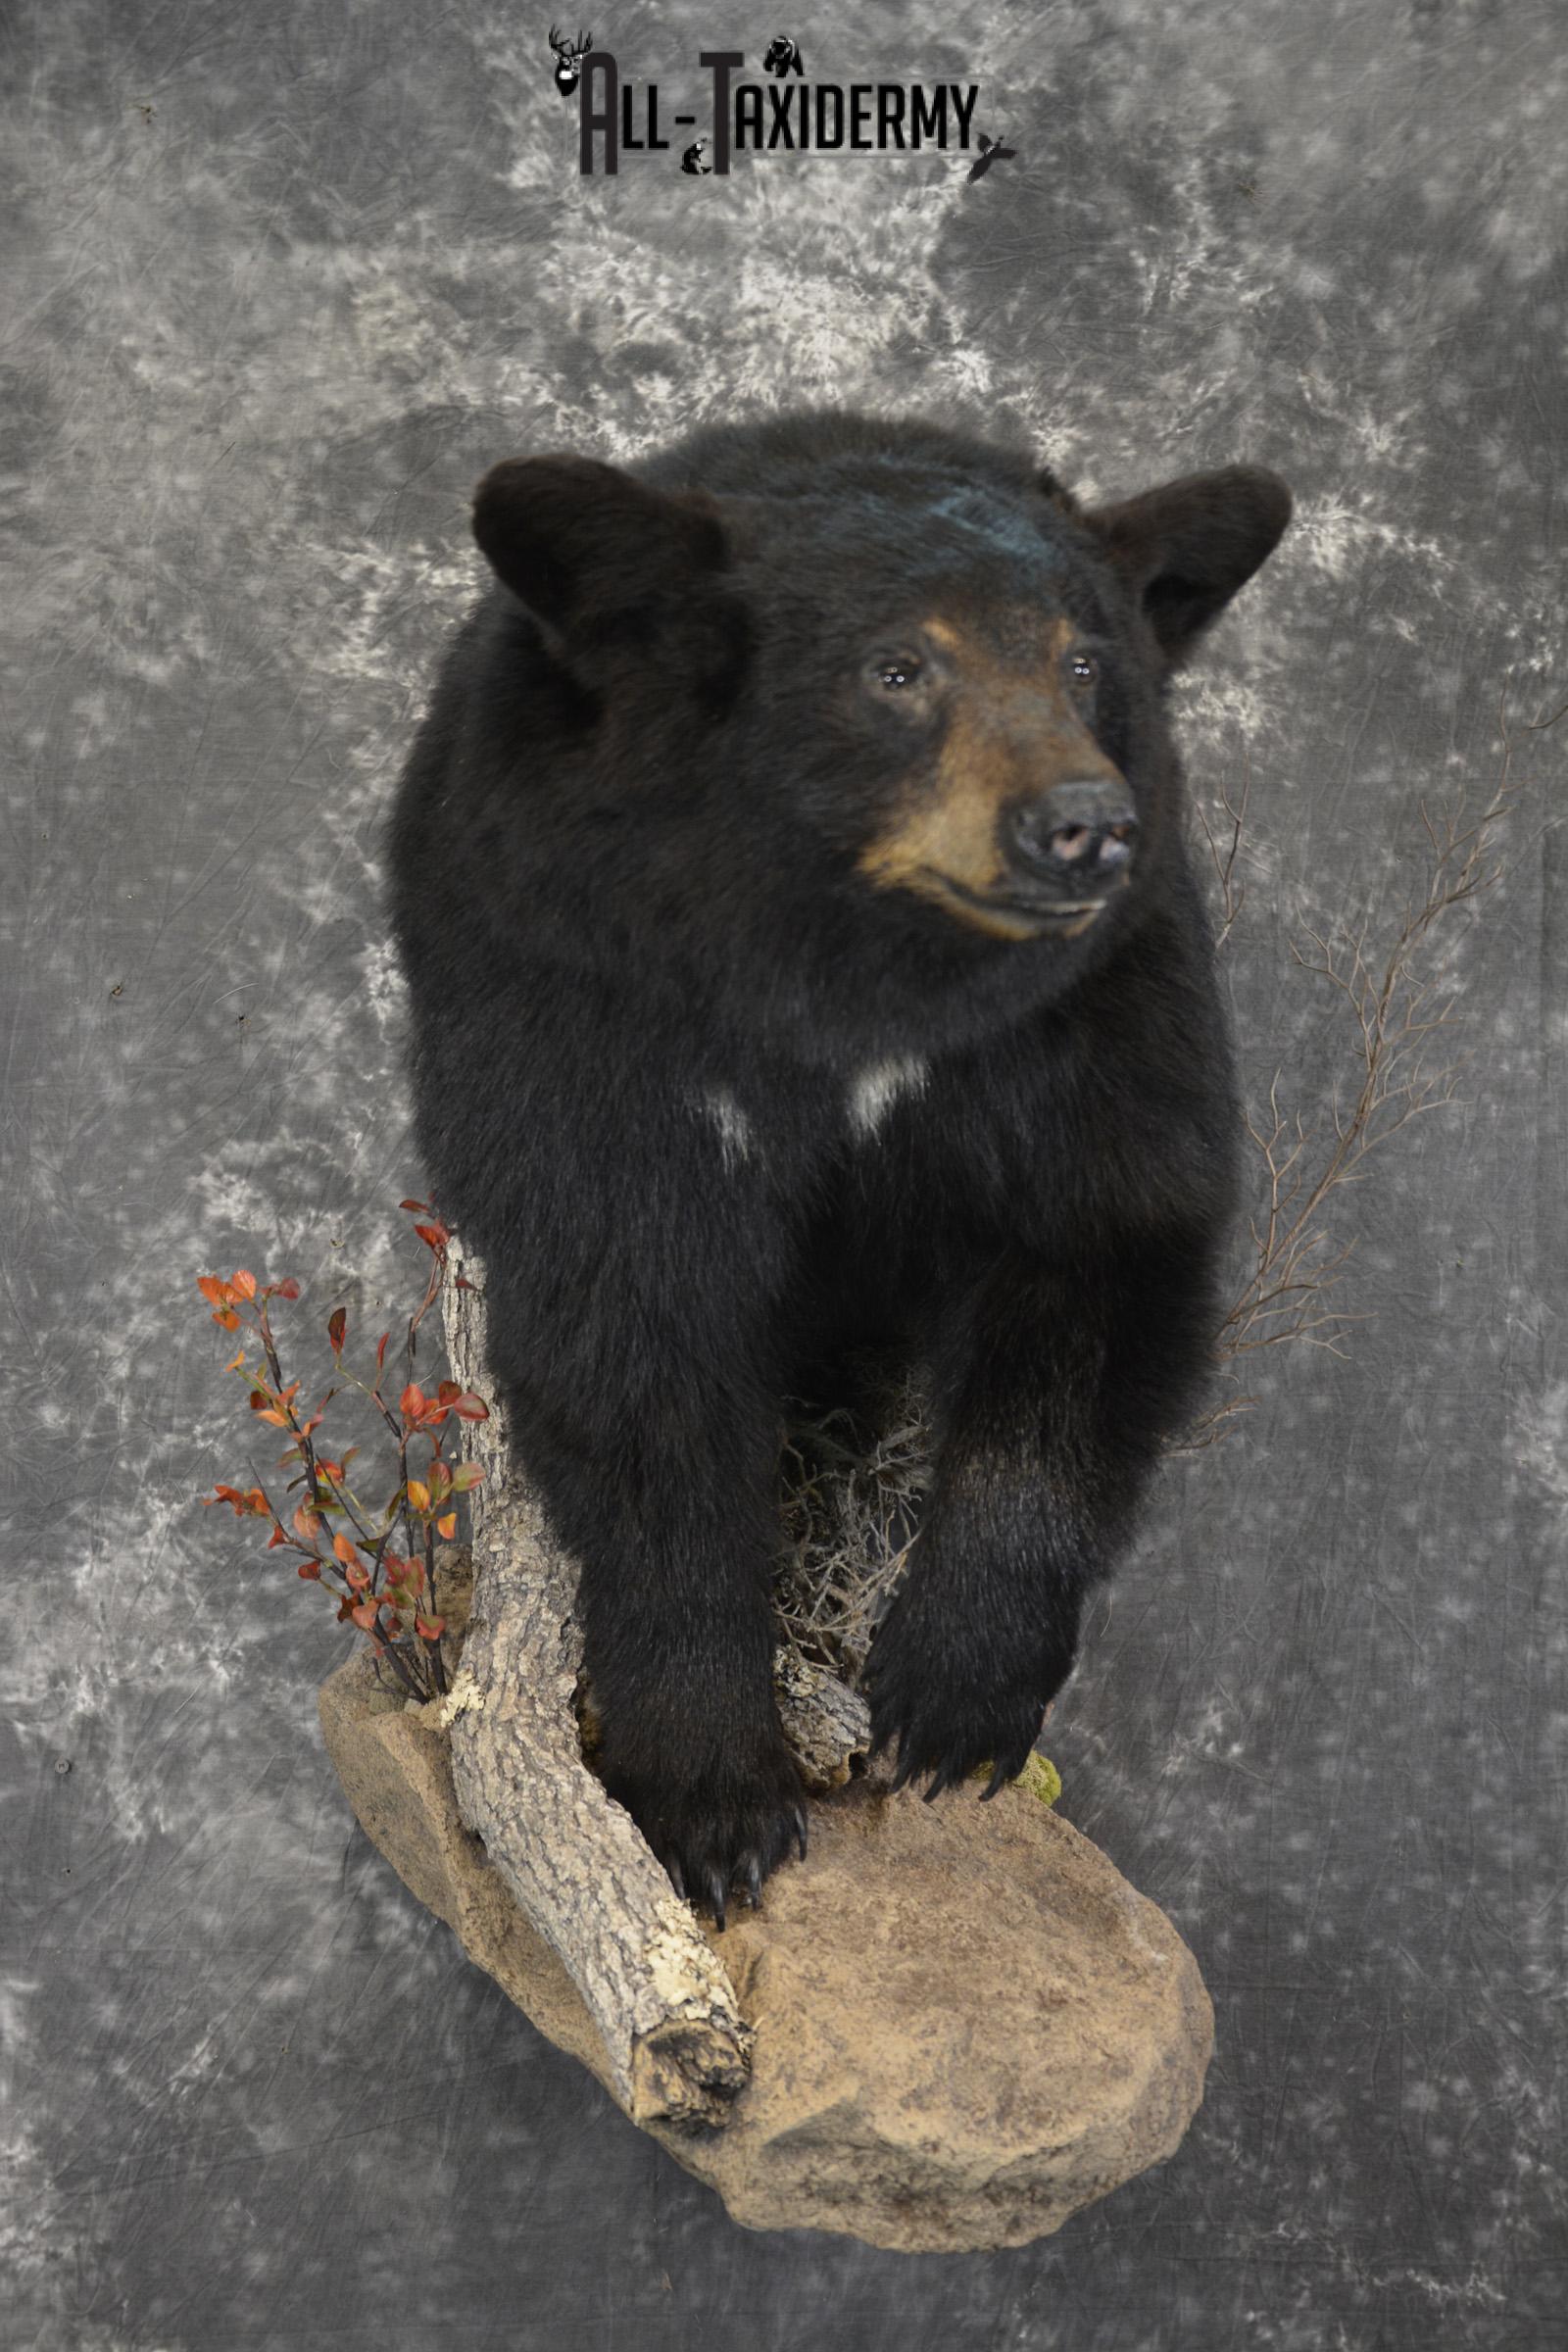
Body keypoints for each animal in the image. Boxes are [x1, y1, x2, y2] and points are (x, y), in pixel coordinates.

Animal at [386, 408, 1289, 1925]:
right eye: (897, 668)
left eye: (1084, 661)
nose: (1084, 825)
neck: (848, 981)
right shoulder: (582, 1005)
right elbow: (635, 1344)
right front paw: (709, 1789)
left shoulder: (1094, 1007)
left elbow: (1100, 1248)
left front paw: (956, 1690)